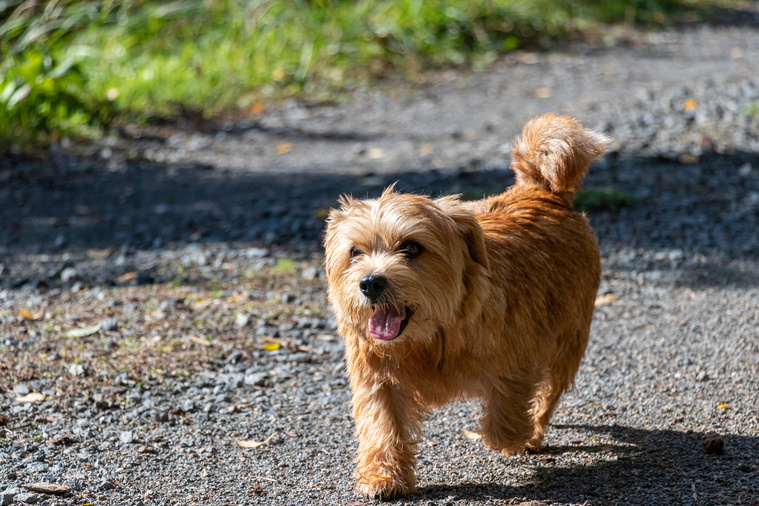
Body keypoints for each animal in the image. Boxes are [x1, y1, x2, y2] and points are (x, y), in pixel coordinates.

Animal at [324, 113, 608, 498]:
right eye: (355, 251)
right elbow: (383, 427)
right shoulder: (377, 381)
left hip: (569, 339)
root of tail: (542, 190)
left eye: (411, 248)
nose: (369, 283)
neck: (430, 338)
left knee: (549, 392)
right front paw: (383, 477)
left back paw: (533, 432)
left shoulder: (517, 360)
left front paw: (512, 435)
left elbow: (506, 411)